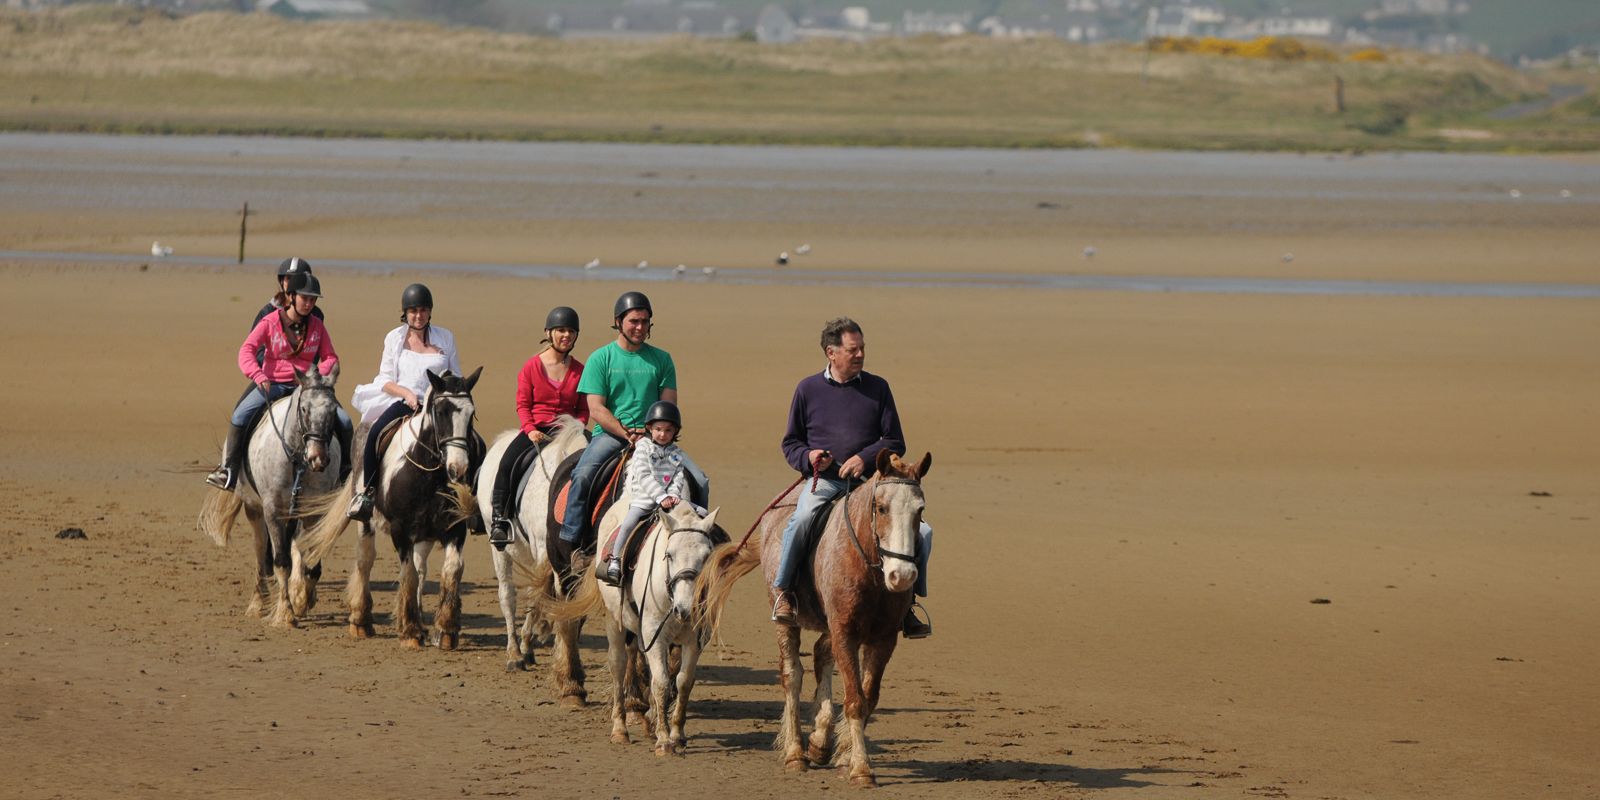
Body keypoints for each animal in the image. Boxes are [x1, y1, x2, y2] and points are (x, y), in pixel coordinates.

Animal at [196, 363, 344, 630]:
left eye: (333, 409)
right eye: (304, 409)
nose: (318, 458)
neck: (296, 460)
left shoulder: (313, 513)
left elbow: (312, 561)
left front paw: (302, 600)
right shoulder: (273, 510)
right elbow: (281, 561)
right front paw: (285, 613)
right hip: (254, 508)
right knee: (260, 554)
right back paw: (256, 603)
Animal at [697, 451, 934, 787]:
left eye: (920, 510)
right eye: (881, 507)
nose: (902, 576)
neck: (869, 571)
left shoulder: (883, 638)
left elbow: (868, 698)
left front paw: (846, 754)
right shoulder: (845, 631)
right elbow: (855, 700)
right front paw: (861, 769)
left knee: (822, 656)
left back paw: (820, 743)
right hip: (787, 622)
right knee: (792, 676)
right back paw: (796, 753)